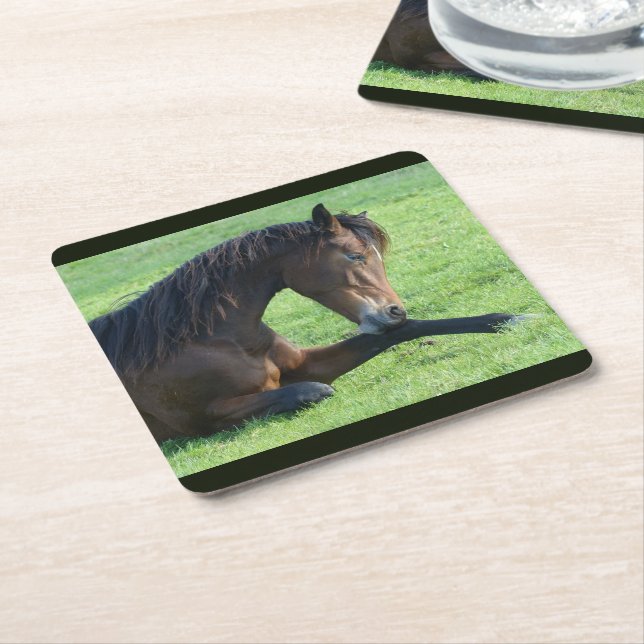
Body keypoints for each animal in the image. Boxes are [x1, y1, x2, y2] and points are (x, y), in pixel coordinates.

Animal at [89, 204, 523, 443]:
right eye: (353, 256)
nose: (393, 310)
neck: (214, 340)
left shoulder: (306, 363)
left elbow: (405, 332)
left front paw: (514, 317)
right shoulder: (208, 417)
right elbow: (315, 391)